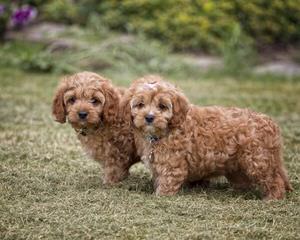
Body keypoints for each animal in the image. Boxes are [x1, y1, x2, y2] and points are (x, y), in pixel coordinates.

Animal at [120, 76, 292, 200]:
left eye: (162, 106)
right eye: (140, 105)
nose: (149, 117)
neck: (166, 130)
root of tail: (271, 123)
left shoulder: (173, 164)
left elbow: (167, 182)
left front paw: (160, 196)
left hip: (258, 159)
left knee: (273, 179)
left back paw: (273, 197)